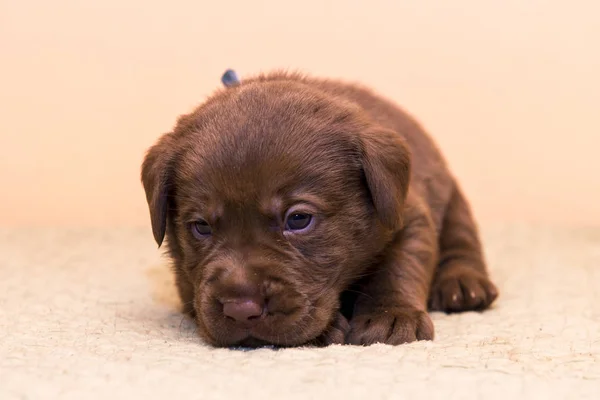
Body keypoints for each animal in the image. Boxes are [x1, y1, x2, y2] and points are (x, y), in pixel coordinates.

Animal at [139, 71, 496, 346]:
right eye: (201, 226)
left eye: (299, 219)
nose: (241, 309)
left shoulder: (407, 214)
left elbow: (399, 266)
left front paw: (392, 316)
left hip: (453, 201)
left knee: (461, 240)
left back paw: (463, 284)